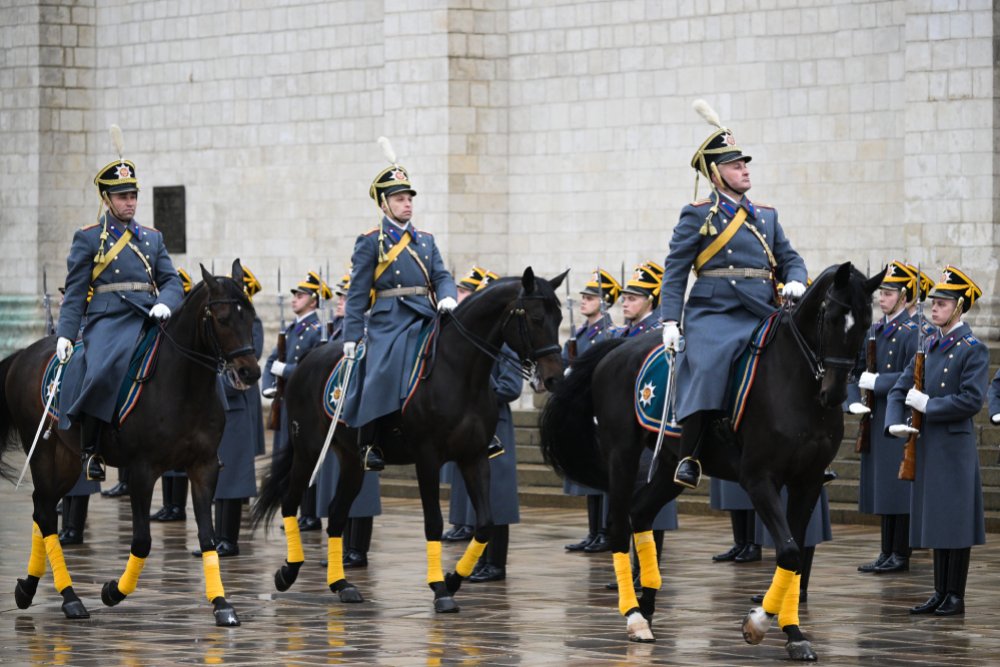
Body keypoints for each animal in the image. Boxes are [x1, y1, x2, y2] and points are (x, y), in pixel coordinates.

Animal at [0, 260, 262, 628]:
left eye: (251, 317)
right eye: (223, 319)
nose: (249, 372)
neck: (184, 384)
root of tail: (25, 353)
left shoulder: (204, 466)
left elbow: (206, 535)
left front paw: (222, 603)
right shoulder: (142, 470)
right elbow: (141, 540)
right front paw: (112, 591)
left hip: (66, 460)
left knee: (43, 507)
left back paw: (31, 589)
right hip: (42, 452)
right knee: (45, 512)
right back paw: (68, 598)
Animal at [249, 268, 564, 612]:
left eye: (560, 318)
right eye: (536, 318)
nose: (554, 378)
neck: (459, 371)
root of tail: (309, 358)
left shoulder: (475, 457)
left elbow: (484, 523)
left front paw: (453, 579)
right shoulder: (427, 459)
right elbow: (434, 523)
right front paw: (440, 588)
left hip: (351, 460)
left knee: (336, 514)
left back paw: (341, 584)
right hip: (309, 449)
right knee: (290, 502)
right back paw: (288, 571)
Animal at [540, 264, 884, 660]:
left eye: (867, 322)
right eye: (829, 318)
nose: (835, 394)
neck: (795, 382)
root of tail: (618, 350)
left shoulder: (808, 481)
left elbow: (795, 553)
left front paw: (793, 632)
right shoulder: (758, 478)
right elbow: (789, 552)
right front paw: (758, 622)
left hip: (670, 465)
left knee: (640, 513)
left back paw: (649, 605)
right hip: (622, 455)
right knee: (617, 526)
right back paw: (634, 615)